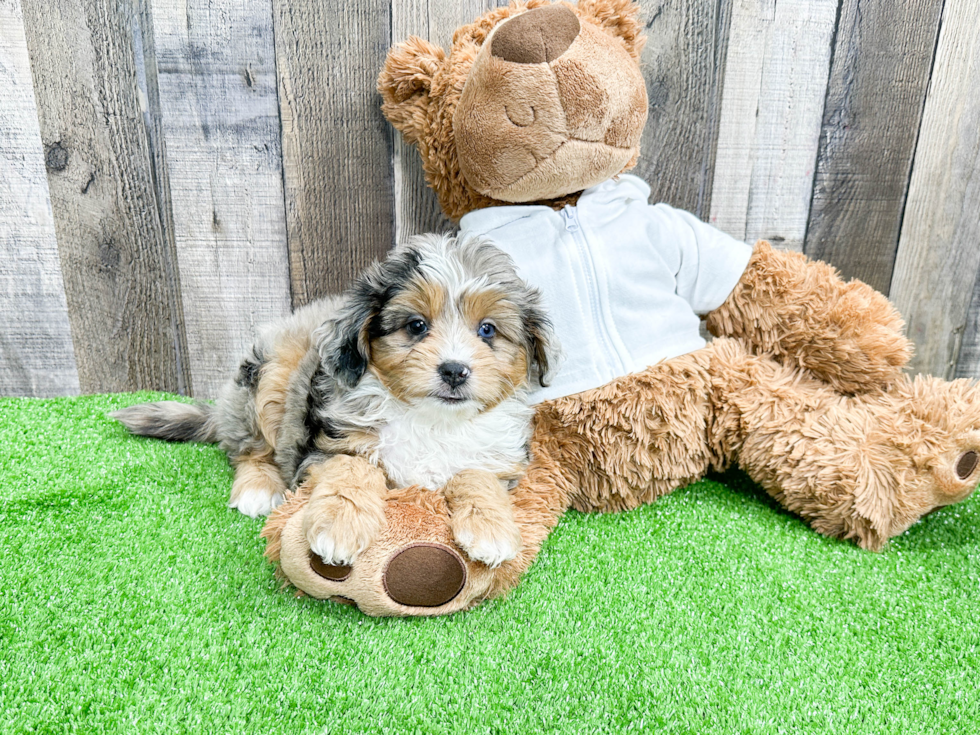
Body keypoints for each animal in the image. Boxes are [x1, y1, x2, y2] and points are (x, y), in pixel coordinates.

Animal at [111, 236, 556, 568]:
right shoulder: (326, 446)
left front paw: (491, 528)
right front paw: (339, 526)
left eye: (487, 330)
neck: (432, 420)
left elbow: (476, 476)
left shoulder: (498, 458)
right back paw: (258, 488)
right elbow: (352, 469)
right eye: (416, 326)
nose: (454, 371)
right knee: (248, 450)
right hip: (268, 378)